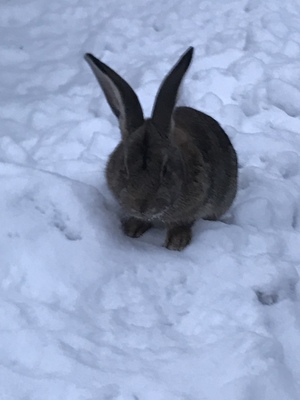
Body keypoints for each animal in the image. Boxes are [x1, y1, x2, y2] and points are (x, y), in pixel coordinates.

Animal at [84, 47, 237, 250]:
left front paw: (176, 242)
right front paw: (132, 229)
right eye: (124, 168)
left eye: (165, 169)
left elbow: (183, 221)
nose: (141, 207)